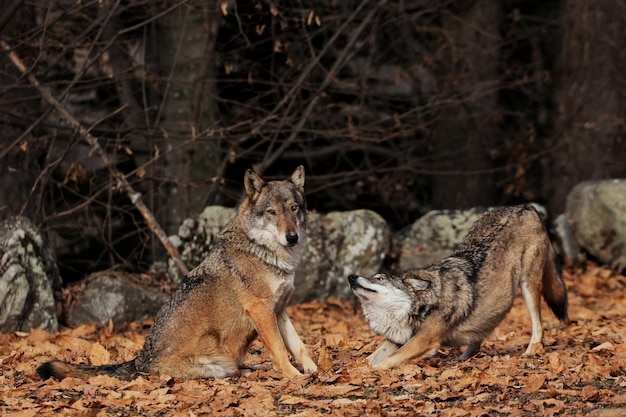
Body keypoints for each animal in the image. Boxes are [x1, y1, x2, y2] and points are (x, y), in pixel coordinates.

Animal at [36, 167, 314, 380]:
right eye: (272, 212)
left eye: (294, 208)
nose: (292, 237)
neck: (265, 253)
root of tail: (139, 361)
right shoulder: (261, 310)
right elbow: (280, 349)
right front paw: (294, 377)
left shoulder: (278, 309)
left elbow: (298, 346)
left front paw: (313, 371)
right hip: (216, 367)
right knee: (231, 371)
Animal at [348, 203, 568, 368]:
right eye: (374, 276)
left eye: (379, 278)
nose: (351, 277)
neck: (424, 304)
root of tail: (526, 206)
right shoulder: (398, 338)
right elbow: (369, 359)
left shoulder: (423, 340)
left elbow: (384, 363)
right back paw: (462, 359)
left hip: (528, 285)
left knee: (538, 325)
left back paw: (531, 351)